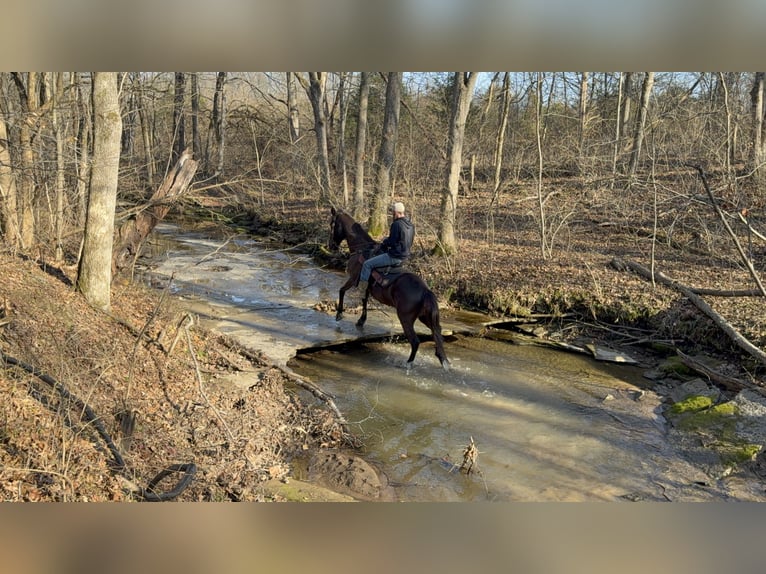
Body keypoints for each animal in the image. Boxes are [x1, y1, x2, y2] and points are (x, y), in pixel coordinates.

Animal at [328, 207, 450, 370]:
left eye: (332, 224)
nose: (331, 246)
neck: (362, 249)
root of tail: (425, 291)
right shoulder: (366, 286)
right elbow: (364, 300)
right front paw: (361, 321)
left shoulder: (353, 279)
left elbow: (341, 291)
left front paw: (339, 314)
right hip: (424, 316)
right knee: (437, 333)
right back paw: (443, 360)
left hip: (405, 318)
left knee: (415, 341)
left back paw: (408, 363)